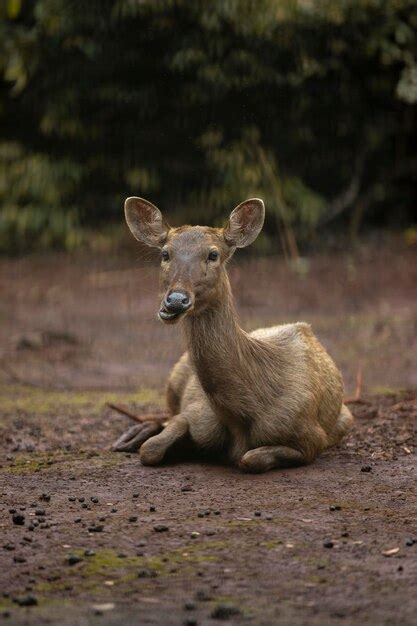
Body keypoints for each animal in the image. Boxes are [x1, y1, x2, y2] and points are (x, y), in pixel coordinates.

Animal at [112, 197, 352, 470]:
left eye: (213, 254)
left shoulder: (311, 437)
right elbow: (151, 448)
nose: (175, 301)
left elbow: (250, 459)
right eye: (165, 254)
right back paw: (131, 436)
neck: (240, 416)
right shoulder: (195, 412)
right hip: (174, 379)